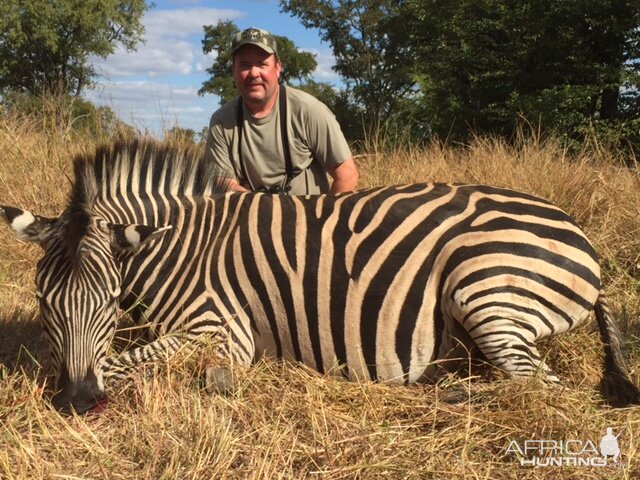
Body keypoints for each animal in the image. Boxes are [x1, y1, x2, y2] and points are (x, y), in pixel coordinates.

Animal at [0, 138, 636, 412]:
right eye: (44, 301)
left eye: (109, 300)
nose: (79, 402)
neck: (182, 248)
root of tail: (581, 235)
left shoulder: (224, 331)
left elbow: (120, 360)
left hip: (484, 289)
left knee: (540, 387)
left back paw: (444, 394)